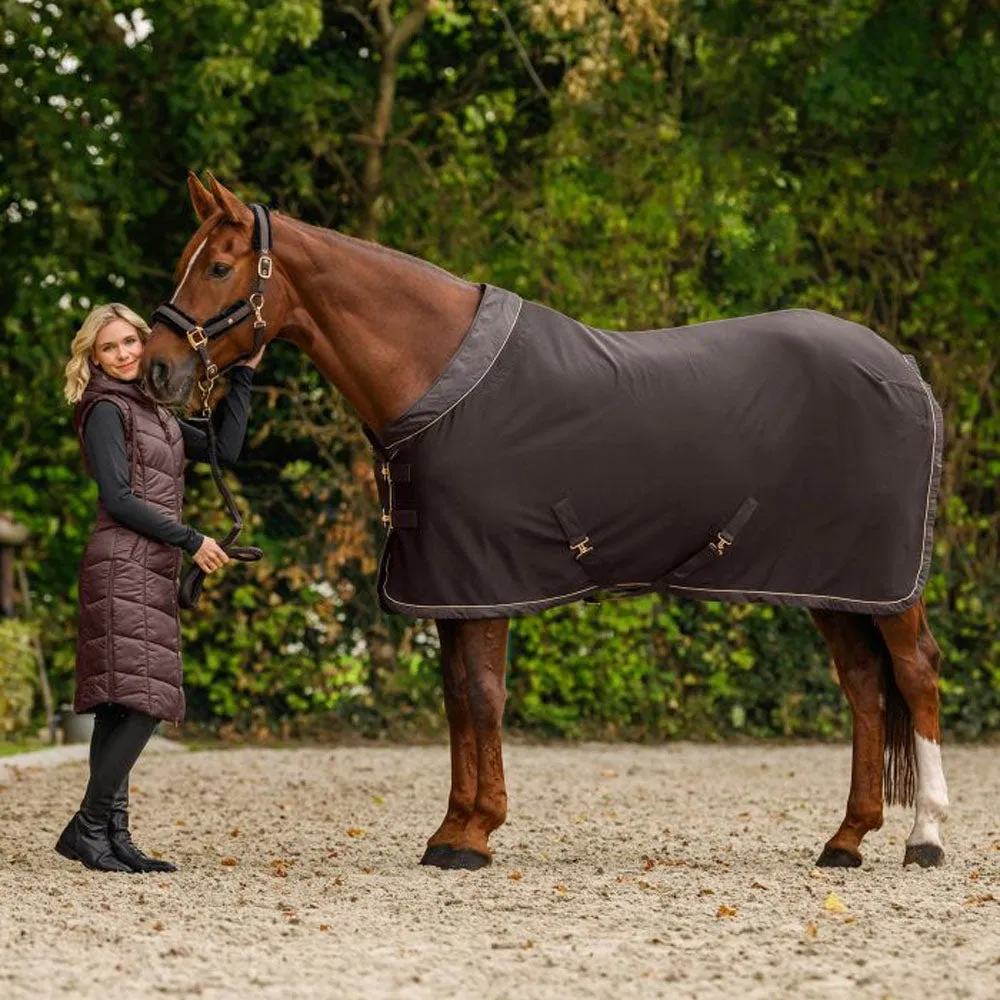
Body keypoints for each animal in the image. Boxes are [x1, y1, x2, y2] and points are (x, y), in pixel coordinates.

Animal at [141, 171, 949, 872]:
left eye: (218, 267)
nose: (157, 370)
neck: (436, 372)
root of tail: (906, 369)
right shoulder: (448, 586)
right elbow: (456, 698)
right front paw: (451, 828)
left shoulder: (486, 575)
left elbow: (483, 694)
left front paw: (475, 834)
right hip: (833, 585)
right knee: (864, 687)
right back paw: (847, 839)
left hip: (886, 586)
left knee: (915, 674)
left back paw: (926, 838)